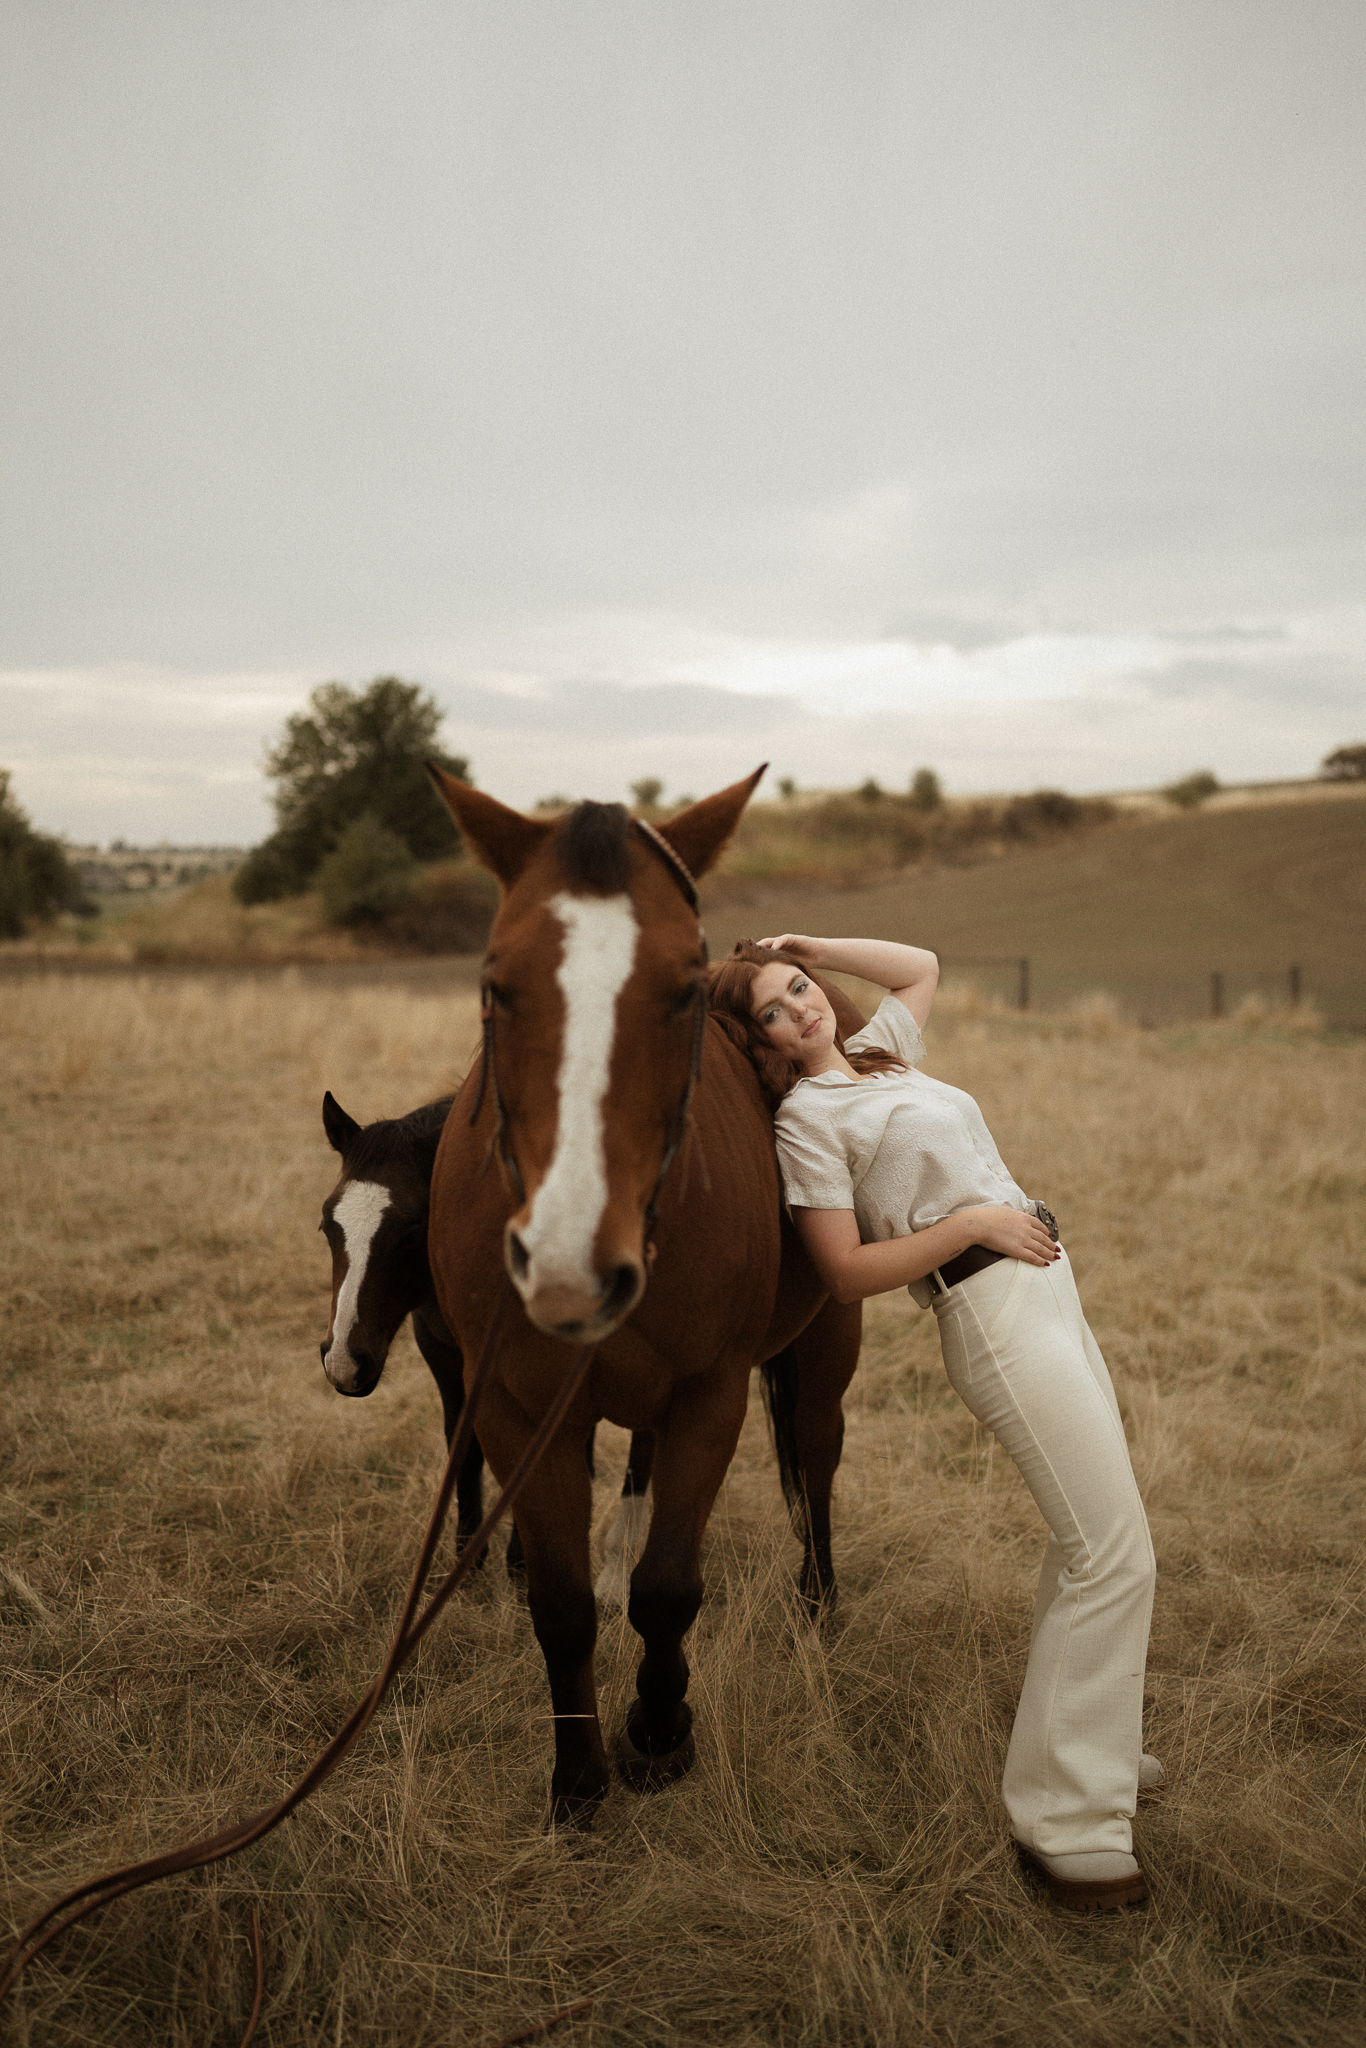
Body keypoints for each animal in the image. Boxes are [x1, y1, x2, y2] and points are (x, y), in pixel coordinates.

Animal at [428, 770, 860, 1826]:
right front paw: (578, 1780)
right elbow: (561, 1604)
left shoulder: (713, 1393)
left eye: (683, 990)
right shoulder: (517, 1410)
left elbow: (669, 1588)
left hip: (827, 1343)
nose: (571, 1264)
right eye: (496, 986)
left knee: (816, 1458)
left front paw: (660, 1737)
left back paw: (817, 1602)